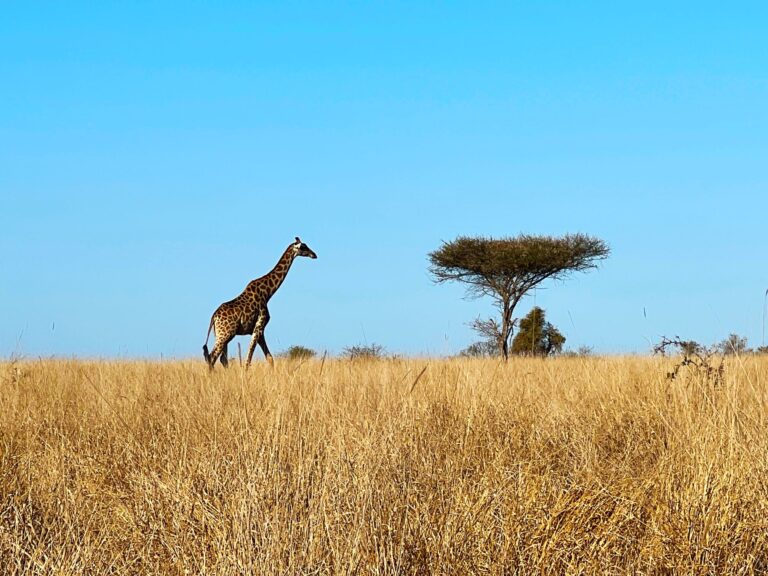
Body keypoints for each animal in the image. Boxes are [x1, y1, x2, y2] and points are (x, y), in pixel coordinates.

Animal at [202, 237, 316, 368]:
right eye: (303, 247)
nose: (314, 255)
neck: (267, 293)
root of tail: (214, 317)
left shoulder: (259, 331)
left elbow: (270, 358)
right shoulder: (259, 327)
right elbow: (248, 360)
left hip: (221, 334)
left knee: (222, 359)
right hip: (225, 334)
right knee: (212, 356)